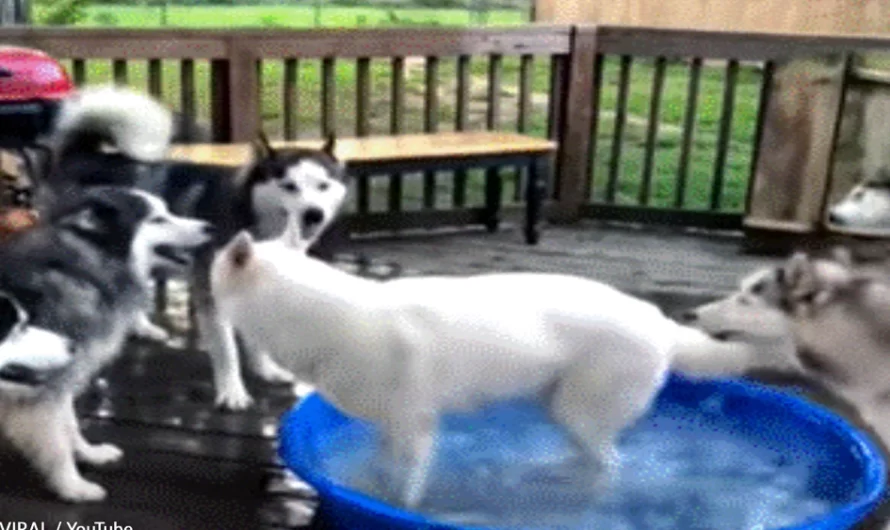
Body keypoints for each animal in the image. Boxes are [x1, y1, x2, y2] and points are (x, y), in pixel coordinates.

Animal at [210, 213, 792, 508]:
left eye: (217, 265)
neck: (327, 312)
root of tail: (659, 323)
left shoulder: (416, 431)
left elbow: (406, 490)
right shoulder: (391, 428)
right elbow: (379, 470)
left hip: (579, 414)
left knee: (609, 466)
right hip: (560, 412)